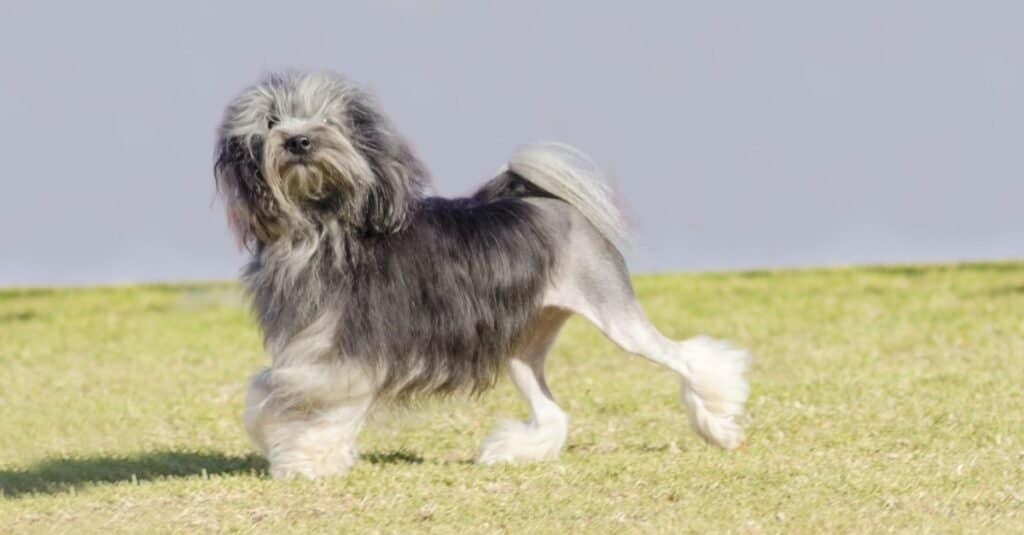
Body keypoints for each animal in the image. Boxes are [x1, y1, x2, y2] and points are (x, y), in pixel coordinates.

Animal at [211, 71, 749, 479]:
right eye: (272, 120)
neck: (323, 225)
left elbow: (316, 406)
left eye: (328, 120)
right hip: (522, 347)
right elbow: (267, 388)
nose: (298, 140)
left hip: (615, 315)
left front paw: (306, 462)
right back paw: (510, 452)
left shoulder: (345, 354)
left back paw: (719, 427)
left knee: (692, 359)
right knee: (553, 412)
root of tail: (552, 203)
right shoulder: (310, 349)